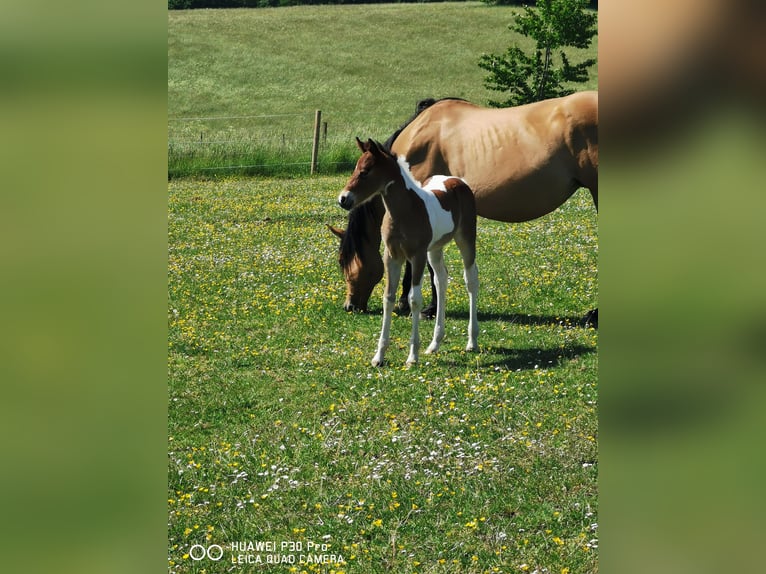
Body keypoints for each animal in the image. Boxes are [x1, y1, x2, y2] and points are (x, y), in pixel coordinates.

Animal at [338, 137, 480, 366]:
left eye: (365, 171)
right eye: (355, 169)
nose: (343, 199)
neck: (406, 211)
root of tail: (457, 181)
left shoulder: (417, 256)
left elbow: (414, 299)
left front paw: (412, 356)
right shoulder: (392, 257)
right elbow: (388, 298)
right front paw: (379, 357)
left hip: (465, 239)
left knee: (471, 279)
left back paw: (472, 341)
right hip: (435, 249)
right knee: (441, 280)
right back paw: (435, 343)